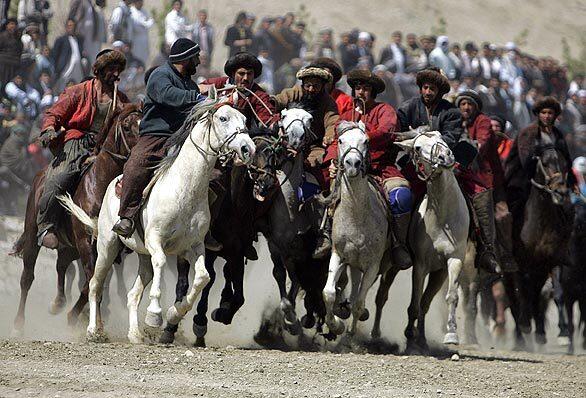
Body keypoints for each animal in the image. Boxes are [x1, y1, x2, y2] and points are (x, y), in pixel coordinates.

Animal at [10, 102, 141, 332]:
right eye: (126, 126)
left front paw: (77, 317)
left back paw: (58, 303)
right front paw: (94, 324)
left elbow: (92, 282)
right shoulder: (85, 243)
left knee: (62, 265)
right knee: (27, 276)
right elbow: (92, 281)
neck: (100, 186)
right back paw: (18, 324)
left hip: (69, 247)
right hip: (33, 233)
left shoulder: (104, 248)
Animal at [60, 98, 254, 344]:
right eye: (223, 118)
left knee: (133, 294)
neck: (184, 187)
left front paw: (173, 313)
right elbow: (161, 262)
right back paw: (94, 331)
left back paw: (135, 334)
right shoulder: (156, 240)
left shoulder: (193, 246)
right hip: (106, 246)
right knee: (95, 284)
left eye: (245, 119)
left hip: (142, 256)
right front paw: (154, 315)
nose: (248, 148)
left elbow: (202, 277)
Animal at [320, 120, 392, 336]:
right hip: (353, 263)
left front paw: (350, 332)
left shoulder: (373, 266)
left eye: (366, 141)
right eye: (340, 140)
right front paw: (336, 324)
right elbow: (328, 292)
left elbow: (359, 303)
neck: (357, 217)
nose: (353, 164)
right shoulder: (339, 255)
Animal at [374, 132, 470, 350]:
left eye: (441, 137)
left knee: (423, 302)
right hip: (391, 264)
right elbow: (414, 304)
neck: (443, 220)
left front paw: (450, 335)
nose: (445, 156)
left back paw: (422, 339)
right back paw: (375, 333)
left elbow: (447, 297)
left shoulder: (452, 262)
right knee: (381, 295)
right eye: (417, 147)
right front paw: (409, 336)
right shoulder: (420, 265)